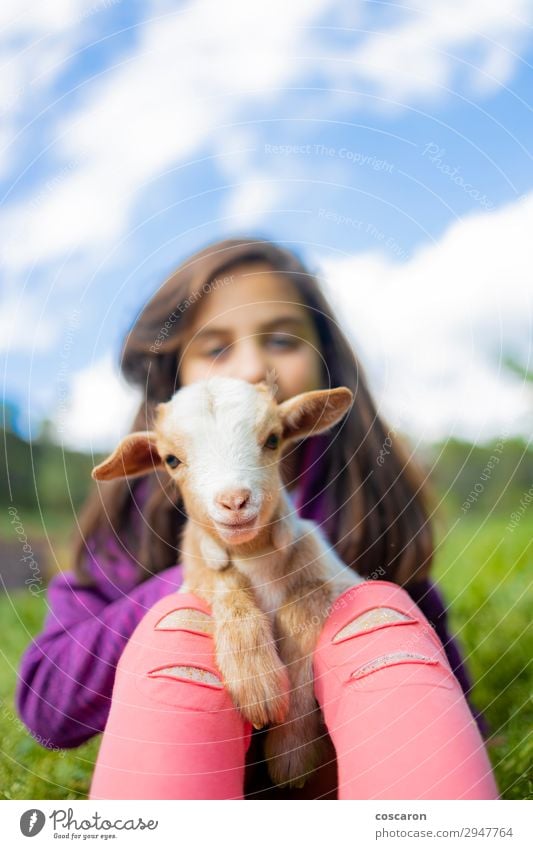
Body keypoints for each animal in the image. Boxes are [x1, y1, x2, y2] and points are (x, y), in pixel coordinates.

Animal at [93, 378, 364, 788]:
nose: (234, 501)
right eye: (171, 460)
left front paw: (292, 754)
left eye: (273, 439)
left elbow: (302, 608)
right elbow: (222, 585)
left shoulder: (325, 576)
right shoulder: (201, 571)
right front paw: (257, 685)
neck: (253, 557)